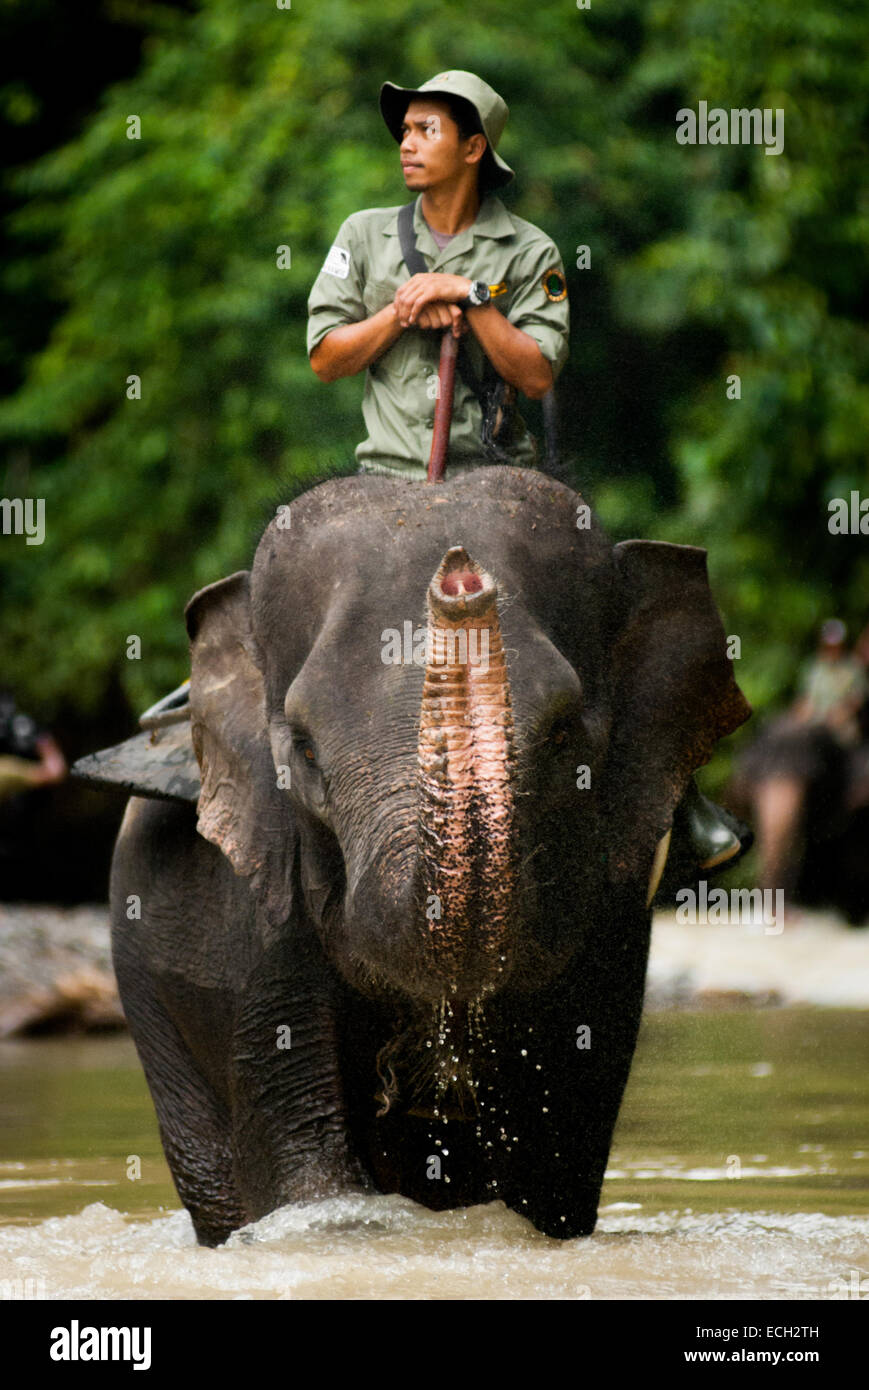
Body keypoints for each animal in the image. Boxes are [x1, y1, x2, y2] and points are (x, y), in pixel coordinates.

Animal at [91, 464, 750, 1239]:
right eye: (304, 752)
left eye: (565, 735)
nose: (460, 577)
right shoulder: (254, 904)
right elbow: (300, 1167)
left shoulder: (620, 901)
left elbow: (554, 1167)